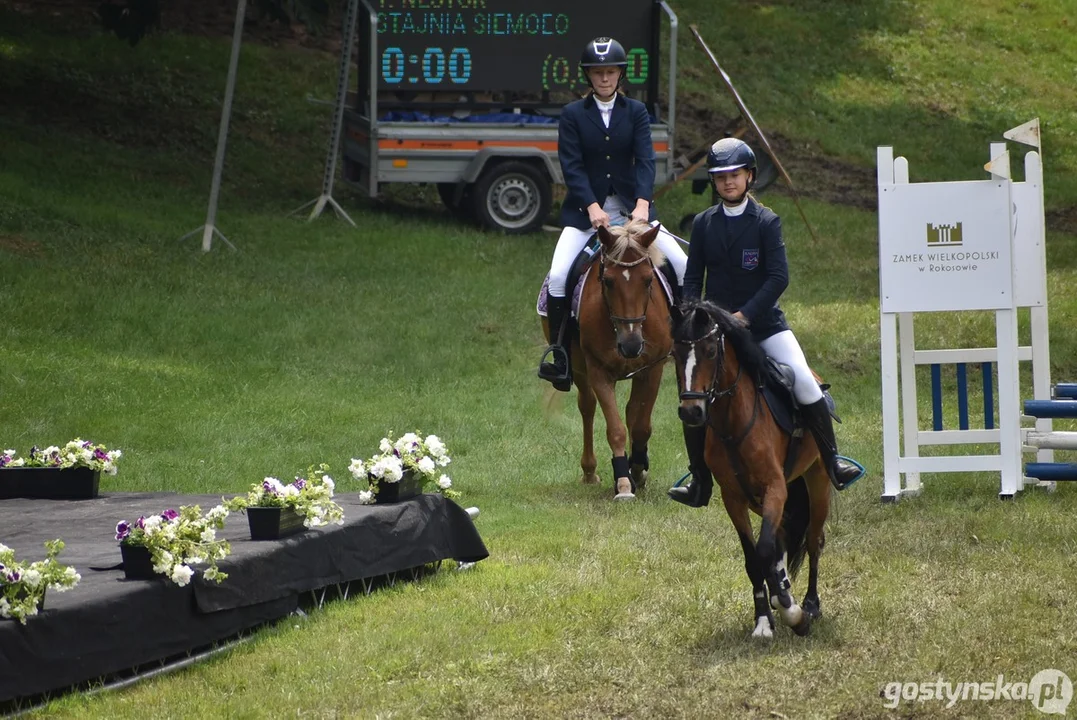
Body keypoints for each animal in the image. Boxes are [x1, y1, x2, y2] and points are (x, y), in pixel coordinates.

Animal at [542, 219, 667, 499]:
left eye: (648, 280)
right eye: (608, 282)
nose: (631, 346)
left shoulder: (653, 368)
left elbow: (641, 426)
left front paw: (638, 470)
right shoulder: (598, 370)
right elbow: (615, 429)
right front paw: (623, 483)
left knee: (631, 412)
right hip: (579, 369)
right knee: (587, 407)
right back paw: (590, 471)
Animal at [672, 301, 831, 637]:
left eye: (710, 351)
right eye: (675, 353)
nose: (691, 412)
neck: (733, 424)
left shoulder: (775, 488)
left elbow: (764, 551)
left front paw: (793, 613)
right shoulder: (734, 498)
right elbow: (752, 558)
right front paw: (764, 620)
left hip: (818, 480)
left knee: (813, 540)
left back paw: (809, 605)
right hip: (762, 499)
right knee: (783, 533)